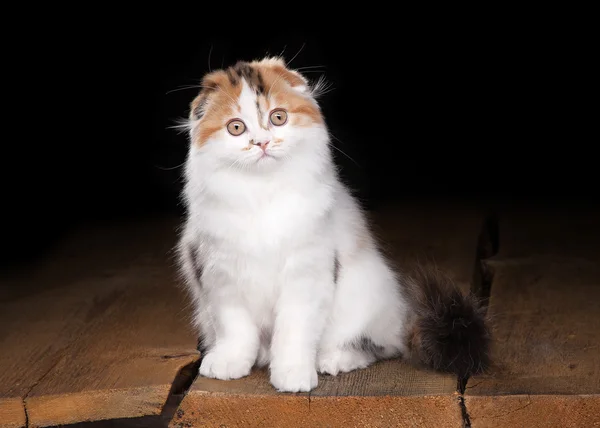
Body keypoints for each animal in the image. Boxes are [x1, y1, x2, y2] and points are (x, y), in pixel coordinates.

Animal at [176, 56, 490, 392]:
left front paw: (293, 375)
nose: (262, 143)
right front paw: (230, 363)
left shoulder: (308, 272)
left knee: (377, 346)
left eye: (278, 117)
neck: (263, 192)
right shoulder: (218, 274)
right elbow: (235, 329)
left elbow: (294, 331)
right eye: (236, 128)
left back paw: (333, 360)